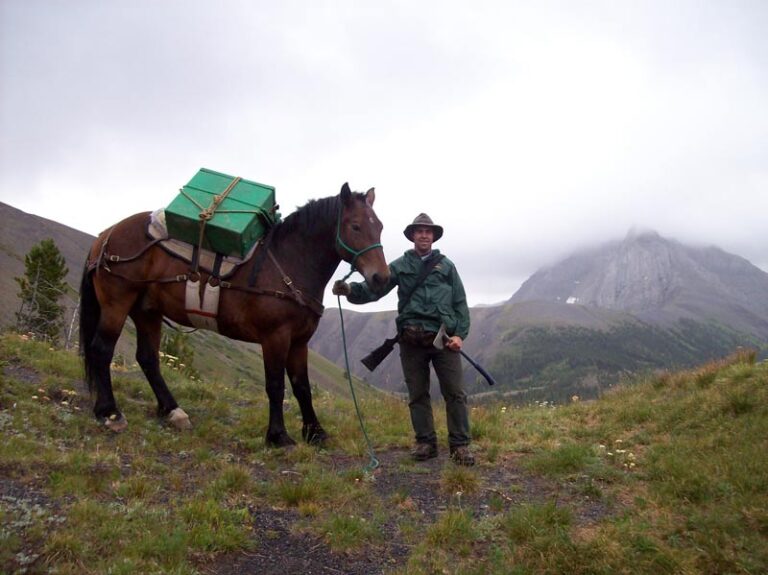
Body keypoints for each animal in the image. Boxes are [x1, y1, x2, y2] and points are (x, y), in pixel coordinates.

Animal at [80, 182, 388, 448]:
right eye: (355, 226)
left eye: (380, 227)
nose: (381, 278)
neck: (288, 262)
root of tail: (107, 234)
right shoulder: (275, 337)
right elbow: (276, 385)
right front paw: (278, 436)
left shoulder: (300, 341)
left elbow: (302, 387)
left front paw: (315, 433)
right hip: (117, 305)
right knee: (101, 349)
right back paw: (110, 413)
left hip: (147, 312)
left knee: (147, 358)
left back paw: (173, 411)